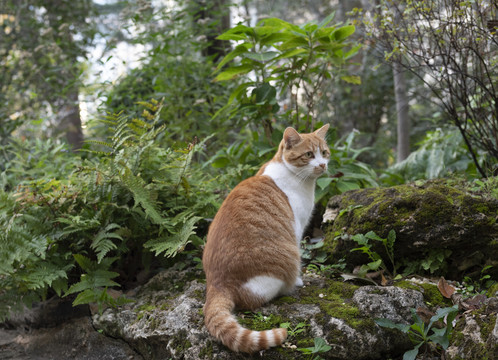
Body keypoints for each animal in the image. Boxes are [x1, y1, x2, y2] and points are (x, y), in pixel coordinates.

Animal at [202, 124, 330, 352]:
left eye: (324, 153)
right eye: (309, 155)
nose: (322, 164)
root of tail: (216, 283)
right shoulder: (297, 229)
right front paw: (300, 279)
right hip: (284, 260)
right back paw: (291, 285)